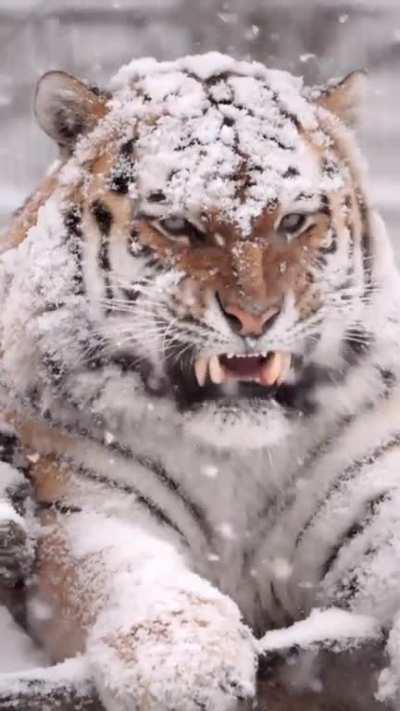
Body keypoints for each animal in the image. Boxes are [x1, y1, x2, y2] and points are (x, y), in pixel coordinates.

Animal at [1, 51, 400, 710]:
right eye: (179, 225)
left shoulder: (369, 490)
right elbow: (126, 577)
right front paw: (184, 671)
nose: (254, 317)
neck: (236, 458)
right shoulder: (86, 505)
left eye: (294, 220)